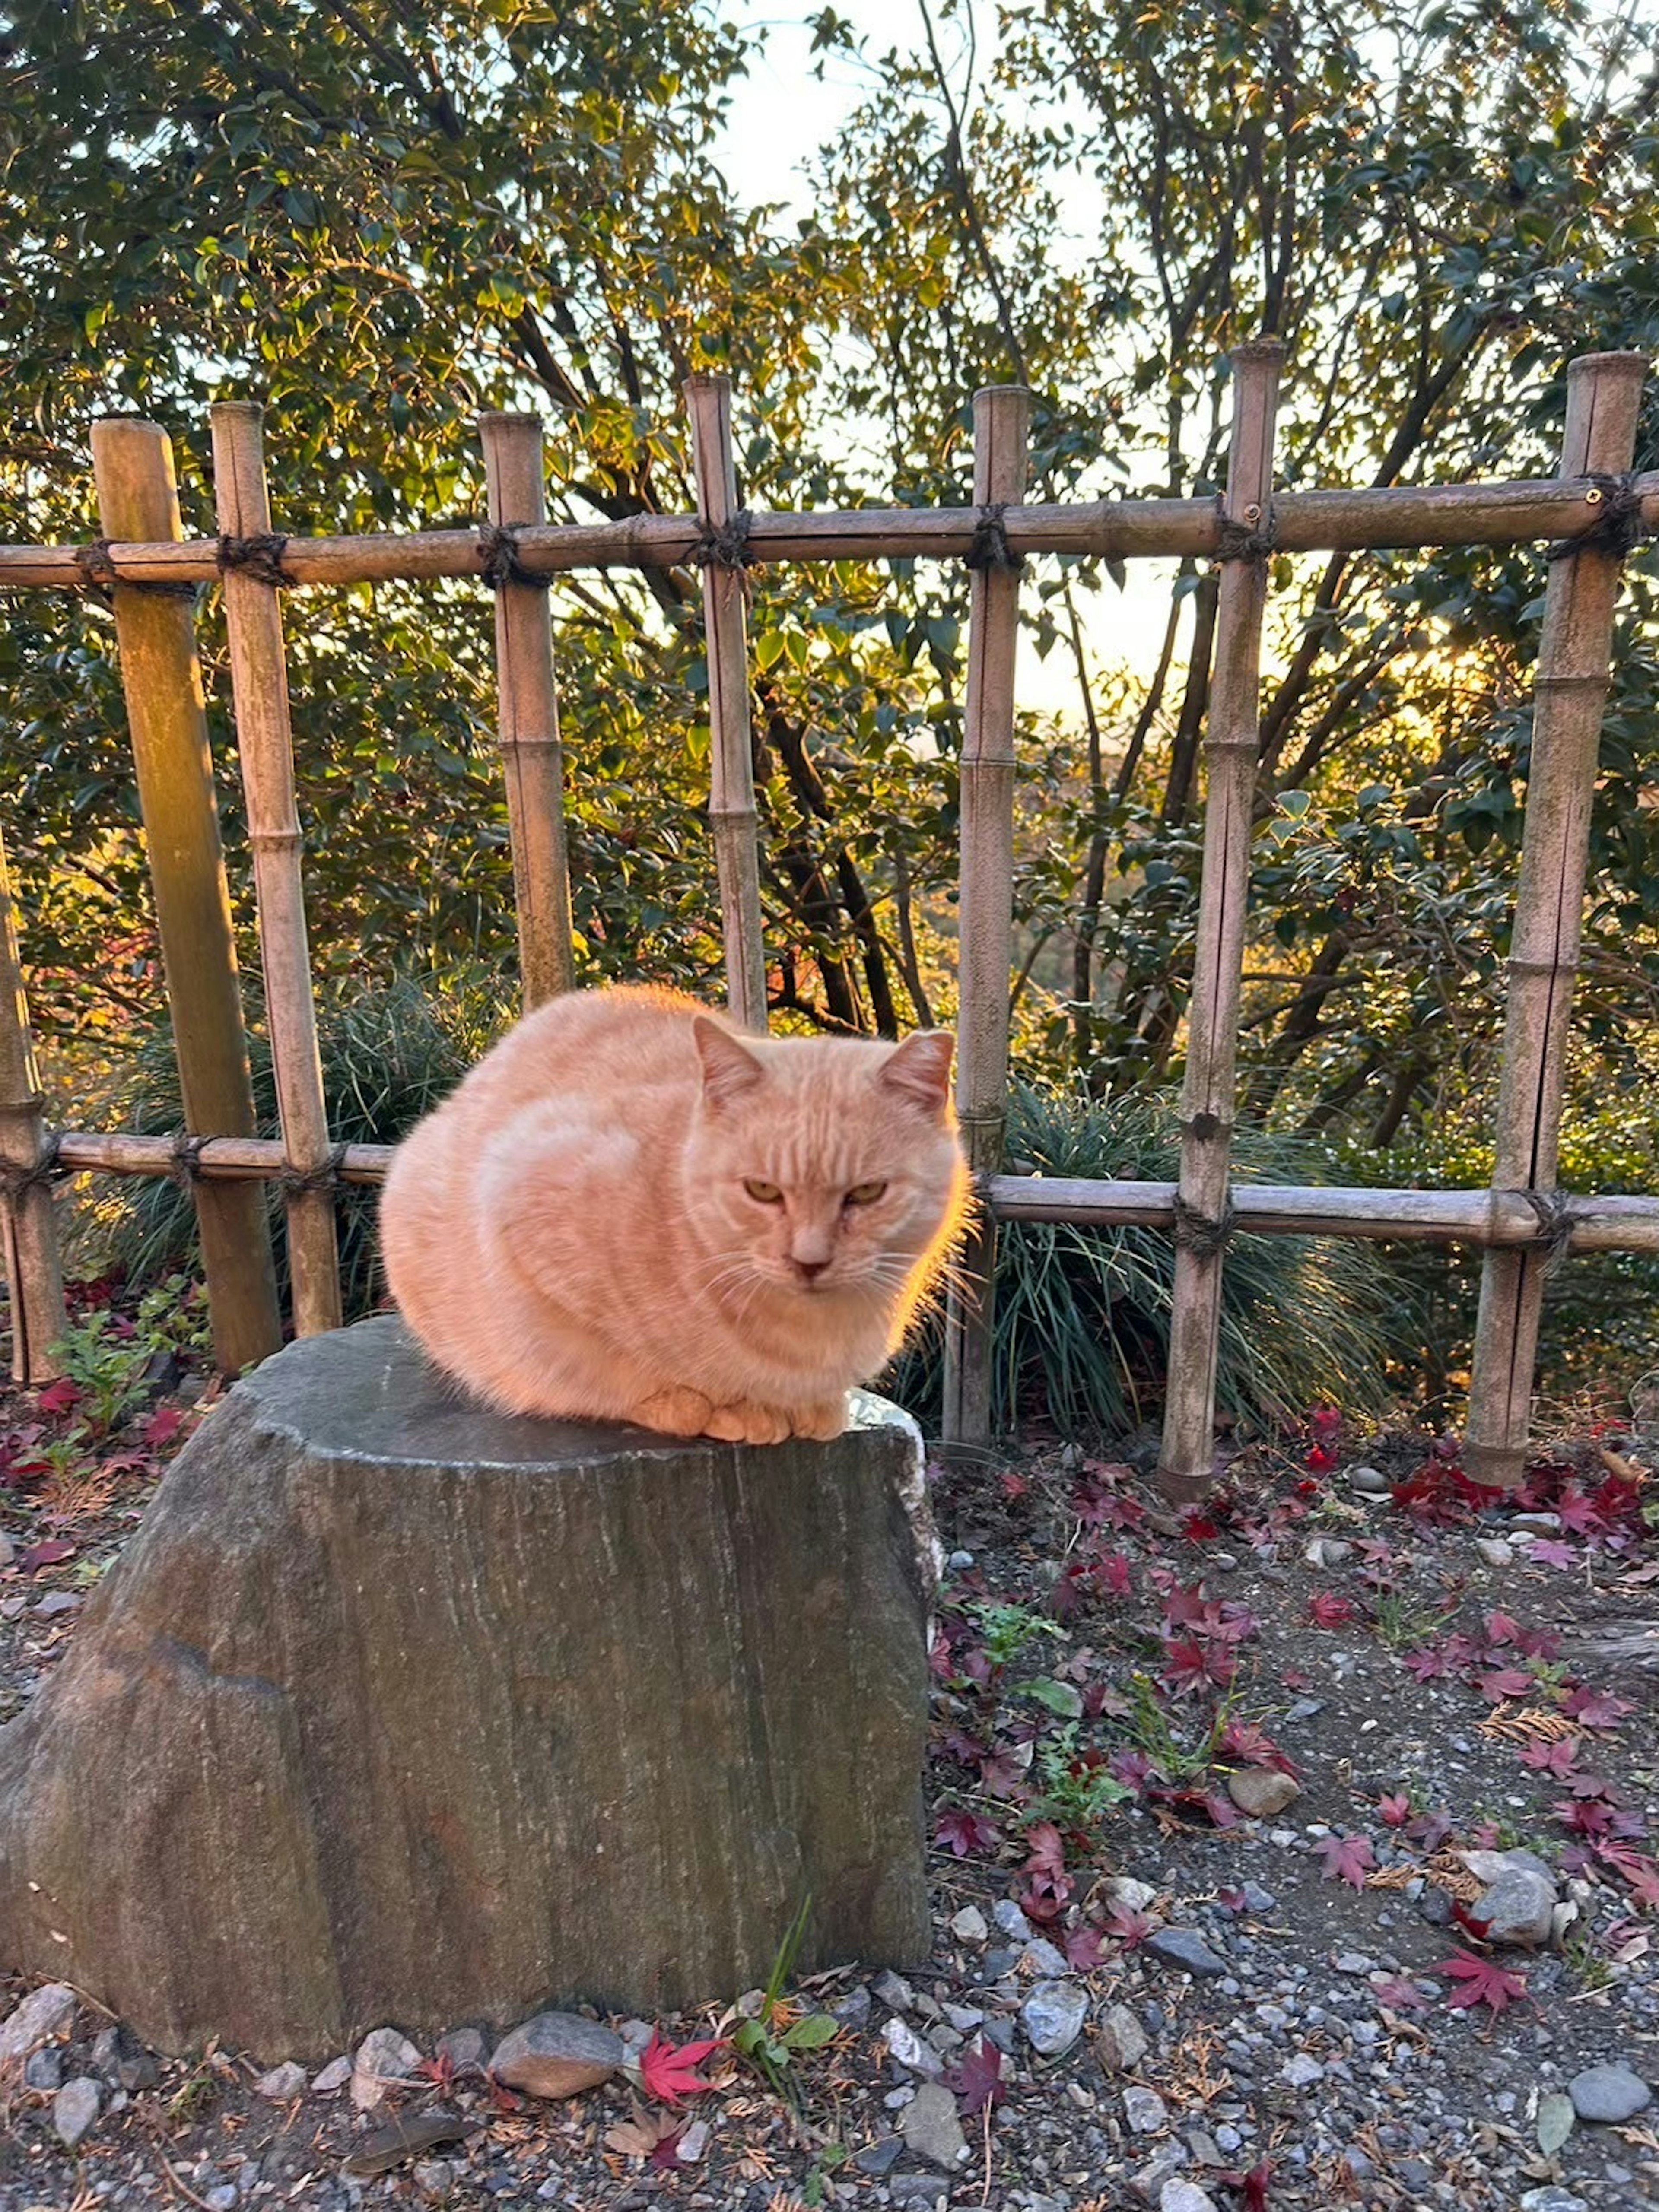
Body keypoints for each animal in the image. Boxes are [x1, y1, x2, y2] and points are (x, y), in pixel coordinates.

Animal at [380, 991, 973, 1442]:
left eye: (867, 1193)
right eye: (762, 1191)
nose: (809, 1261)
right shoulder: (518, 1197)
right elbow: (614, 1371)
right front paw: (721, 1409)